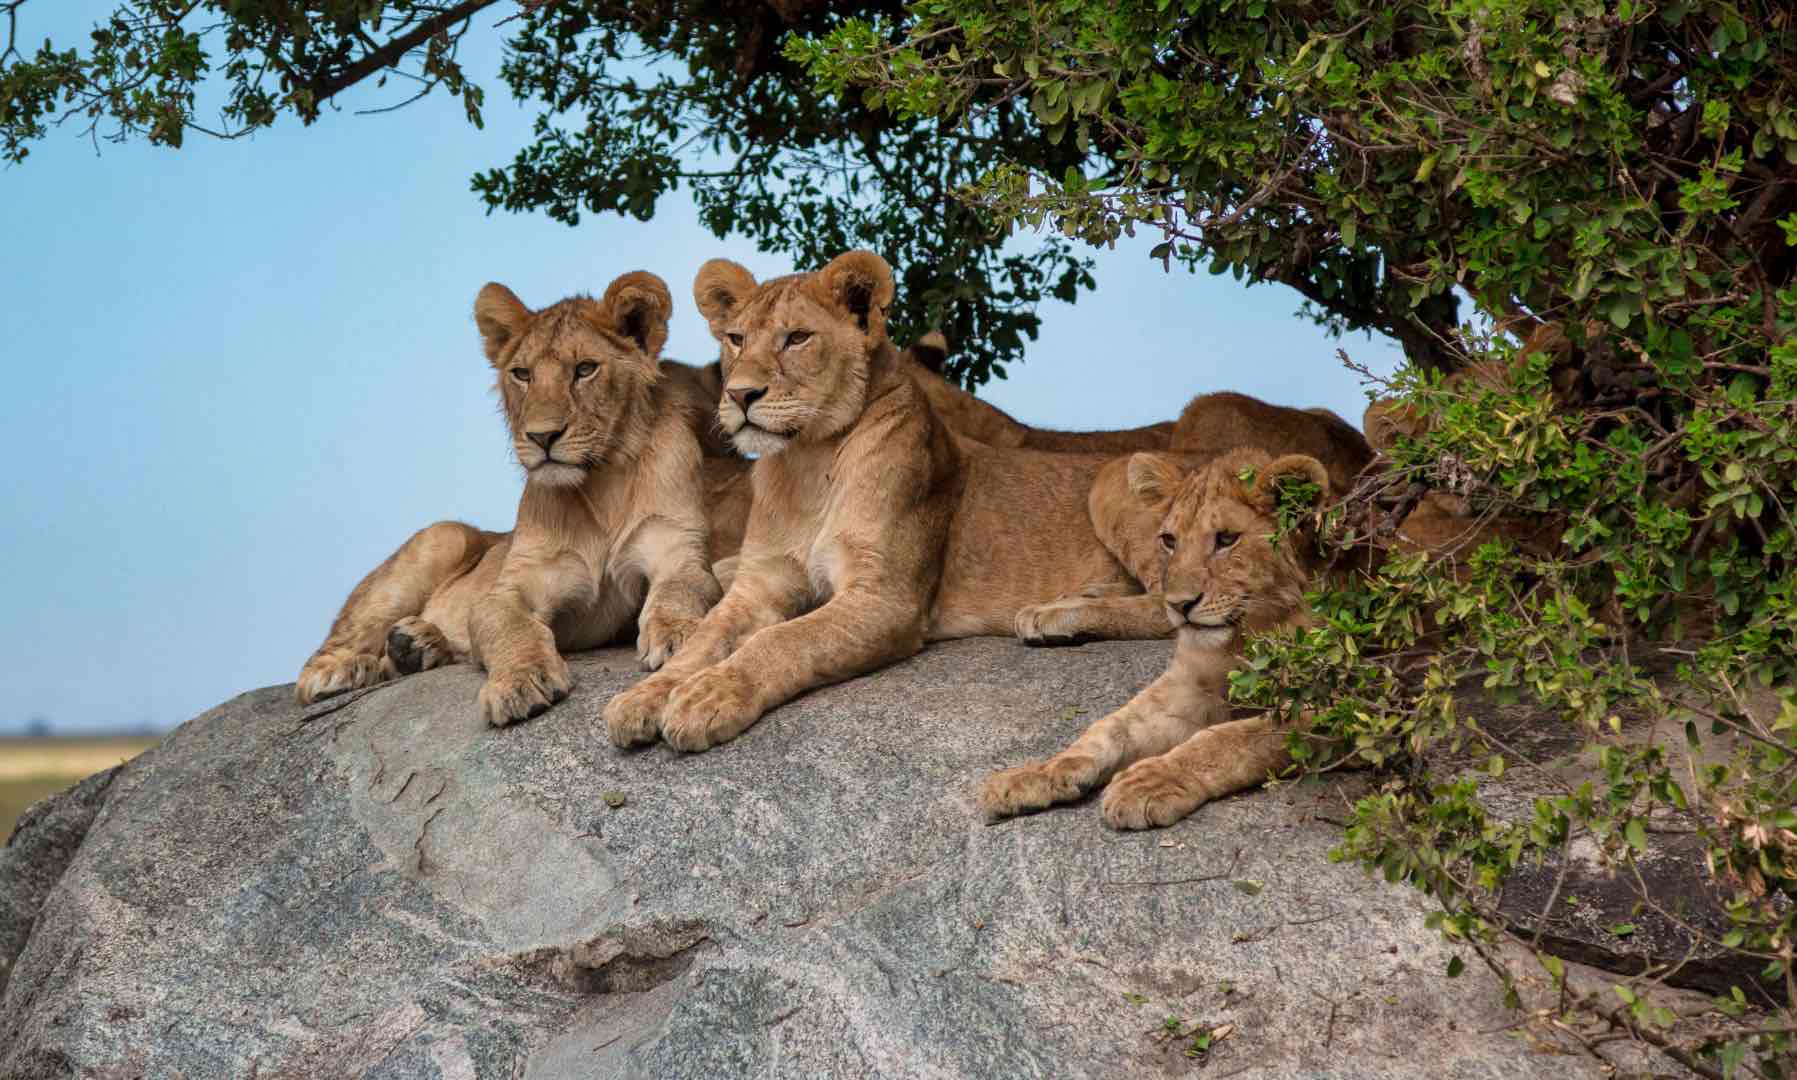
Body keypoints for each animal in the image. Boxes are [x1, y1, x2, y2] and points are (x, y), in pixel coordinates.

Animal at [294, 271, 743, 725]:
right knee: (334, 646)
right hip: (443, 536)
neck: (600, 485)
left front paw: (679, 636)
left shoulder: (676, 549)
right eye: (522, 374)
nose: (542, 437)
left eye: (585, 369)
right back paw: (340, 670)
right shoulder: (513, 586)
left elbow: (680, 591)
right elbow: (509, 627)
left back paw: (415, 646)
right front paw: (521, 682)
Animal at [977, 445, 1344, 826]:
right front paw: (1036, 774)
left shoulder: (1338, 701)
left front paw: (1152, 781)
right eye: (1170, 540)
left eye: (1227, 539)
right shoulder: (1188, 685)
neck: (1251, 630)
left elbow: (1237, 738)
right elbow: (1111, 728)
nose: (1180, 605)